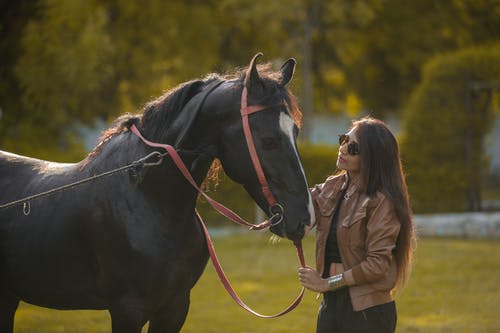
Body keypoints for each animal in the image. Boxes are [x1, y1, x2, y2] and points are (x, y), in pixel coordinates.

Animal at [0, 53, 312, 330]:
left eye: (295, 133)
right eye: (269, 140)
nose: (304, 218)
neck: (149, 199)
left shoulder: (175, 306)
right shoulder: (128, 310)